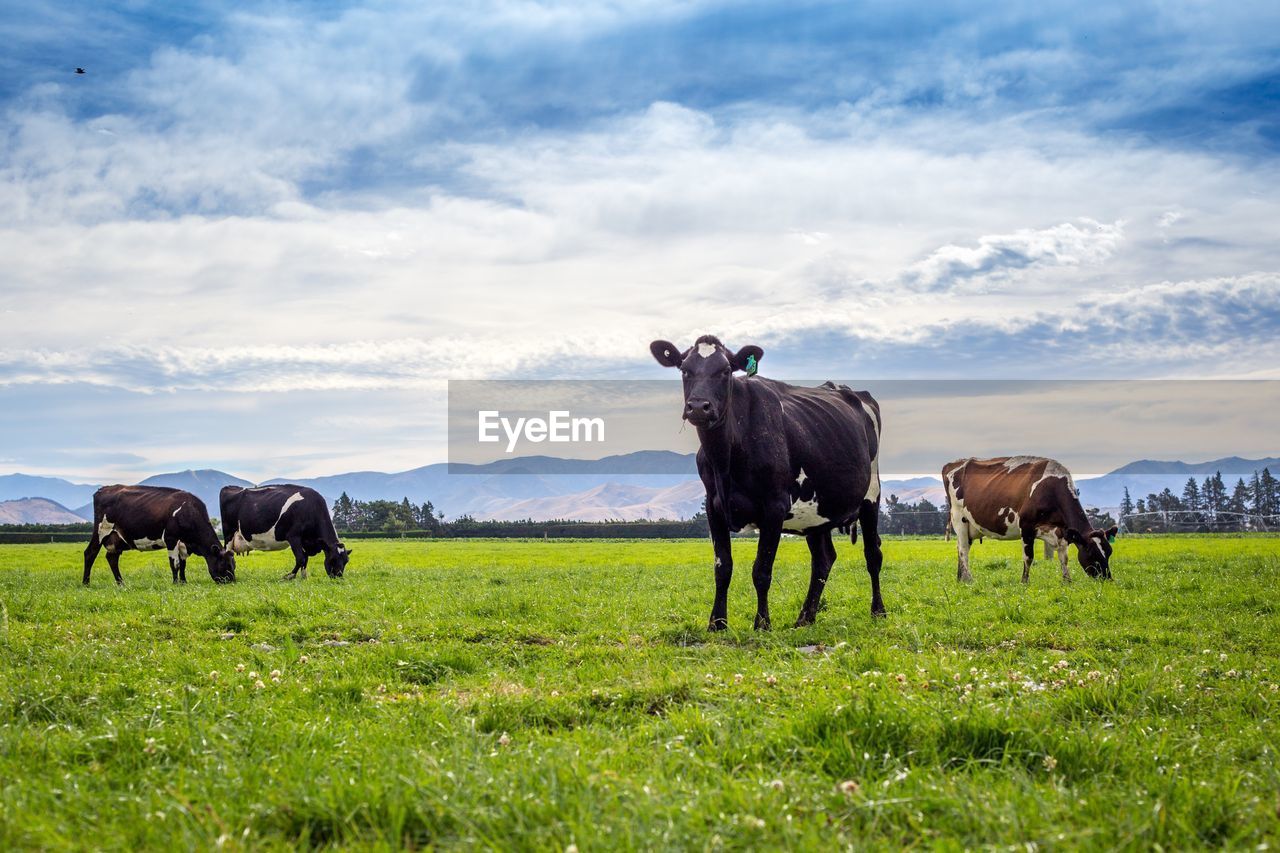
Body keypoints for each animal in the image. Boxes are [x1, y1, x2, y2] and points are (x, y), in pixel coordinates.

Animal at [82, 484, 235, 584]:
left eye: (233, 564)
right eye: (224, 565)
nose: (232, 581)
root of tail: (104, 489)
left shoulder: (183, 544)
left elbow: (183, 564)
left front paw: (184, 582)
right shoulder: (171, 538)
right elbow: (175, 563)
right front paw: (176, 583)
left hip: (116, 539)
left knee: (112, 558)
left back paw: (121, 583)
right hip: (101, 530)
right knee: (90, 553)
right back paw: (86, 582)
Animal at [220, 484, 350, 578]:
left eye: (346, 561)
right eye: (333, 559)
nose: (338, 577)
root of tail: (230, 487)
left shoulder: (305, 541)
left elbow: (305, 559)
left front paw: (304, 577)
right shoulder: (294, 537)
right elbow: (301, 558)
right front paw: (289, 576)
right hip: (229, 534)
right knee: (227, 553)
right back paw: (229, 575)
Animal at [650, 335, 880, 627]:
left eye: (725, 371)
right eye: (684, 370)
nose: (699, 407)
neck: (726, 460)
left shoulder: (774, 506)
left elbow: (762, 570)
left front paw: (762, 623)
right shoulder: (714, 506)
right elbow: (722, 567)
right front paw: (717, 623)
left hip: (871, 495)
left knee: (873, 554)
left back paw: (878, 611)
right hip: (817, 511)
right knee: (823, 559)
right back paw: (805, 618)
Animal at [942, 450, 1121, 584]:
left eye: (1109, 551)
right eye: (1091, 552)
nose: (1108, 579)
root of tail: (954, 463)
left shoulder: (1062, 532)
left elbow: (1064, 557)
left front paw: (1067, 580)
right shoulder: (1026, 527)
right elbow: (1029, 557)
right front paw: (1024, 581)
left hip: (970, 526)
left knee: (960, 548)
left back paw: (960, 578)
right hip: (959, 518)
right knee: (963, 550)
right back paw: (968, 579)